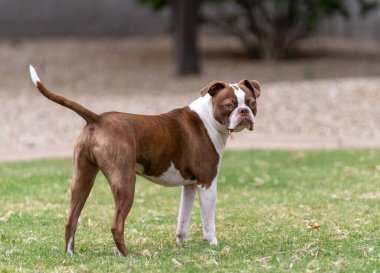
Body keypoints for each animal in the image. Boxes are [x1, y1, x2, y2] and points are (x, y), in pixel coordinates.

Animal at [29, 64, 262, 255]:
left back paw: (71, 254)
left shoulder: (190, 185)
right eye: (229, 105)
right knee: (116, 225)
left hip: (82, 180)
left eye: (252, 103)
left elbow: (183, 217)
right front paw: (212, 244)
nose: (244, 111)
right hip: (125, 183)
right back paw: (127, 255)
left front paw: (182, 243)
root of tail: (97, 119)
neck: (207, 118)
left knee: (71, 219)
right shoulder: (207, 183)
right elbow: (208, 221)